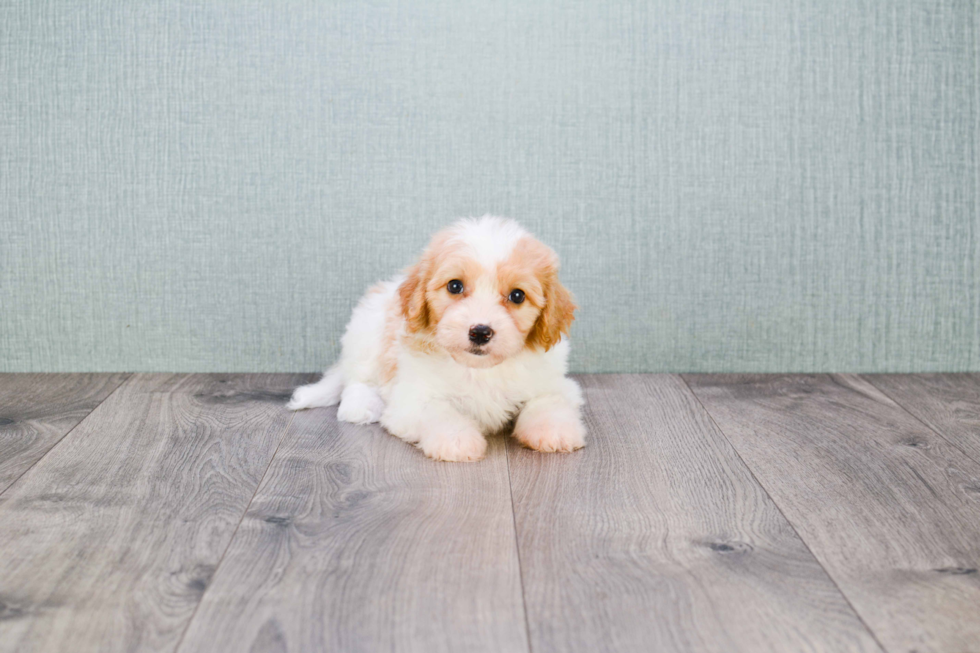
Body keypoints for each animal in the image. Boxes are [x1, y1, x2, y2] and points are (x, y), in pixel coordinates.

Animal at [288, 216, 584, 460]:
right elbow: (437, 411)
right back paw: (361, 405)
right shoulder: (411, 397)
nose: (480, 331)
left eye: (518, 295)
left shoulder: (554, 382)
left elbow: (548, 400)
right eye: (455, 286)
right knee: (356, 380)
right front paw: (457, 439)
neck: (479, 370)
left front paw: (553, 429)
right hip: (367, 336)